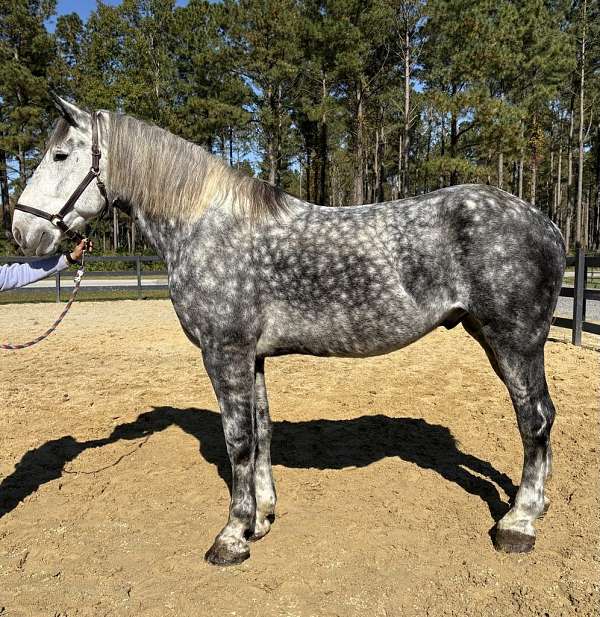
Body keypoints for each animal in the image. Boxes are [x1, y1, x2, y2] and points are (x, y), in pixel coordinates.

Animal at [11, 98, 564, 564]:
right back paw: (535, 506)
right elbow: (261, 433)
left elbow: (237, 440)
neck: (206, 227)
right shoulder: (251, 356)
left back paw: (518, 524)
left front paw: (231, 537)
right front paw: (261, 520)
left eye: (60, 154)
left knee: (534, 419)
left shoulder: (224, 352)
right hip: (493, 338)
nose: (23, 232)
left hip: (514, 342)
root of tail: (546, 224)